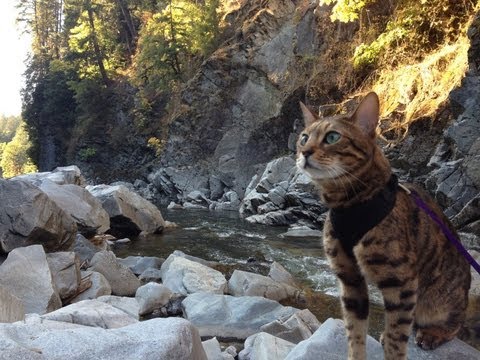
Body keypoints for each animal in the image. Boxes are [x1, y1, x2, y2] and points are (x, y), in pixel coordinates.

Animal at [298, 93, 470, 360]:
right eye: (304, 137)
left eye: (332, 137)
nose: (304, 152)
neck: (349, 204)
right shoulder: (350, 280)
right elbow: (355, 333)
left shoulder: (401, 283)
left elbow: (395, 340)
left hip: (438, 302)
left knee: (454, 325)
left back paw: (433, 334)